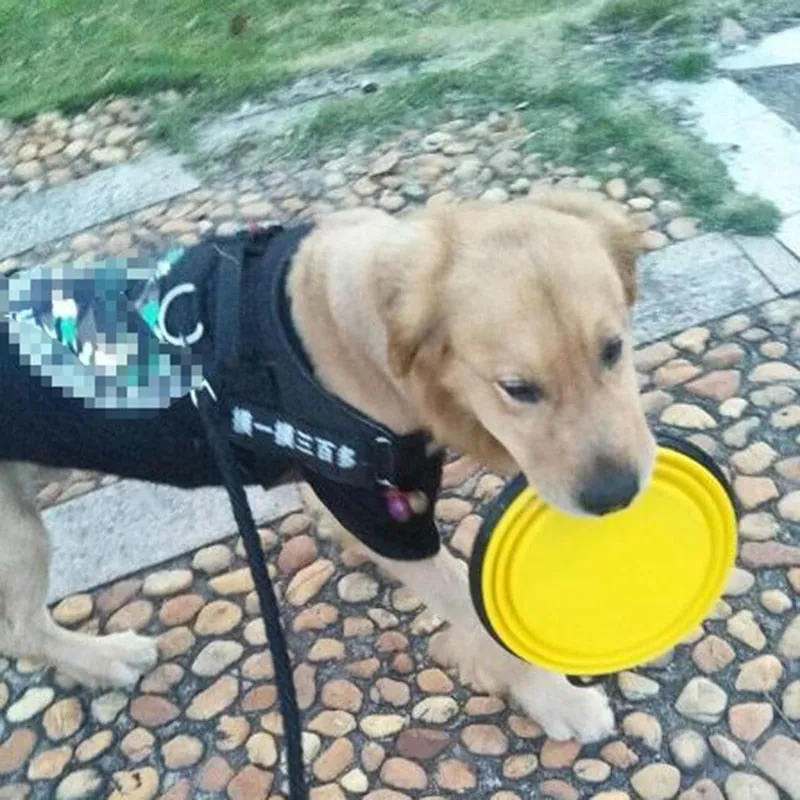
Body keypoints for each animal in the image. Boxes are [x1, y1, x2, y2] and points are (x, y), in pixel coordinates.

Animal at [0, 192, 656, 744]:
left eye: (613, 350)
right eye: (517, 389)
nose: (617, 494)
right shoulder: (389, 516)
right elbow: (479, 618)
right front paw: (559, 700)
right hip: (19, 536)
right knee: (21, 631)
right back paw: (106, 658)